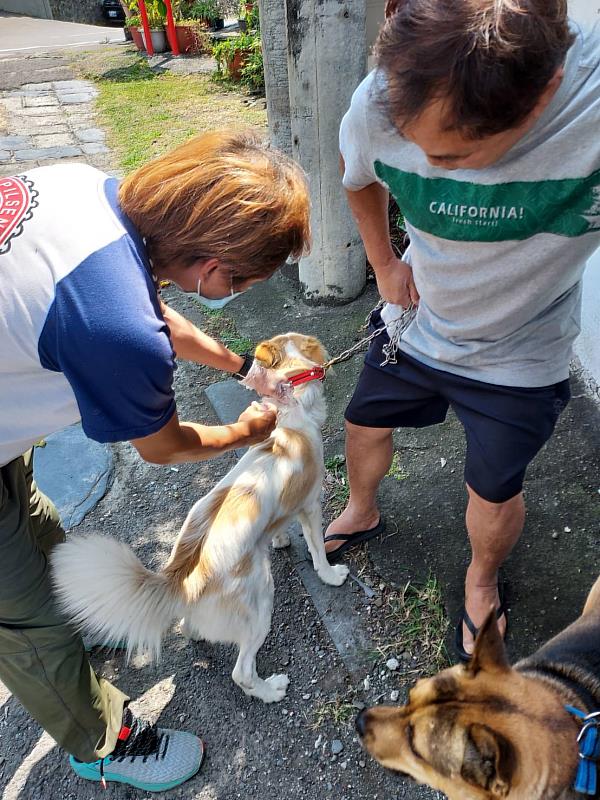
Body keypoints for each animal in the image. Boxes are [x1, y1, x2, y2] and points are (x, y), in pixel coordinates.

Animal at [54, 334, 350, 704]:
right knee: (242, 672)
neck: (288, 407)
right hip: (260, 600)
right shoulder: (310, 505)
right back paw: (271, 690)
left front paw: (280, 540)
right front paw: (330, 575)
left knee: (187, 627)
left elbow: (279, 527)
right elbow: (317, 549)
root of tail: (180, 578)